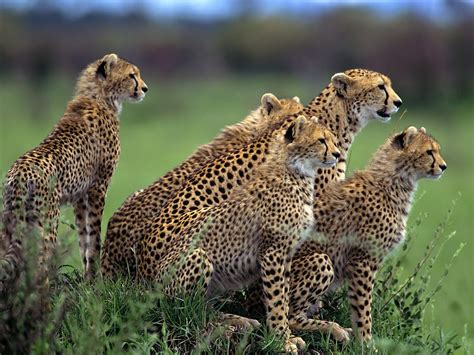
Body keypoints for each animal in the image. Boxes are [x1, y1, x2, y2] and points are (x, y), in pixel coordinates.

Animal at [0, 52, 148, 282]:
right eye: (132, 75)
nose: (144, 88)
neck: (99, 97)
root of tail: (19, 173)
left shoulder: (80, 196)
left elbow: (83, 238)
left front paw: (87, 277)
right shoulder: (98, 188)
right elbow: (94, 236)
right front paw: (96, 280)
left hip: (10, 222)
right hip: (45, 224)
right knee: (39, 267)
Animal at [137, 116, 340, 354]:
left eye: (332, 139)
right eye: (321, 140)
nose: (337, 154)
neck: (296, 172)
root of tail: (150, 284)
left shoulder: (286, 254)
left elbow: (283, 297)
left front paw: (286, 336)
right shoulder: (273, 253)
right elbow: (277, 300)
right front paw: (281, 340)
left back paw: (241, 320)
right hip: (198, 257)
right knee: (187, 310)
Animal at [284, 126, 446, 344]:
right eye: (429, 152)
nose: (443, 166)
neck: (395, 181)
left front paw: (362, 341)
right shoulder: (363, 262)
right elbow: (363, 309)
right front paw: (367, 344)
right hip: (320, 260)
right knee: (290, 316)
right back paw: (333, 329)